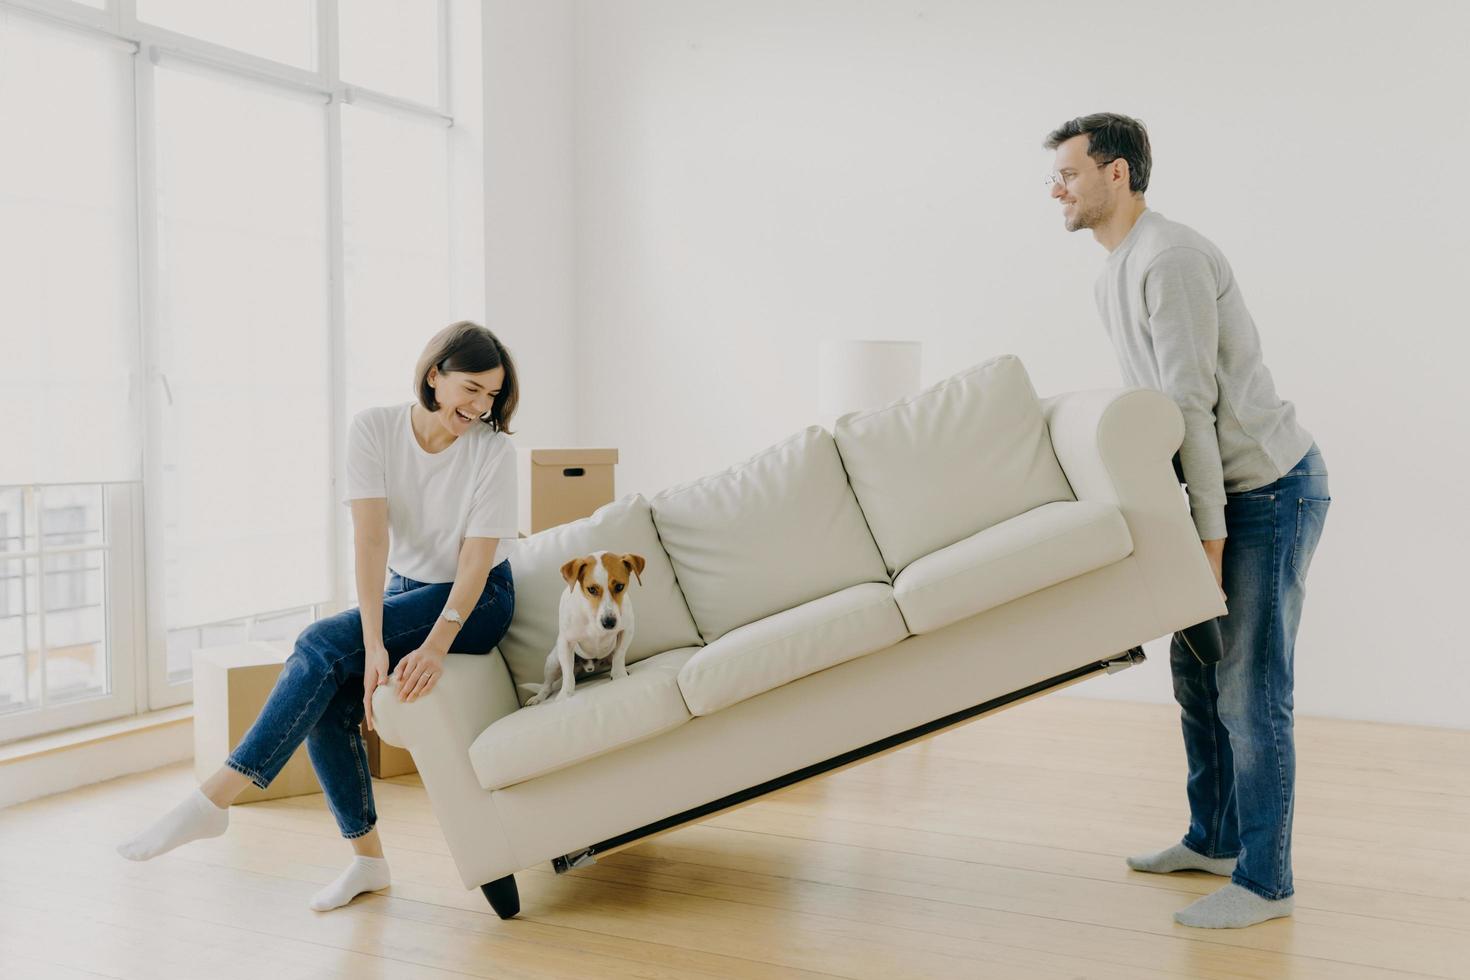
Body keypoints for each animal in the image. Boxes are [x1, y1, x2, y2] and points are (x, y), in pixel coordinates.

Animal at [526, 552, 646, 705]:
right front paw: (565, 695)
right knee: (547, 685)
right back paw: (538, 697)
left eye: (619, 586)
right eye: (592, 589)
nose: (609, 622)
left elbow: (619, 656)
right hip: (553, 662)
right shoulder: (566, 642)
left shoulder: (626, 630)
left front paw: (620, 676)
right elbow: (567, 674)